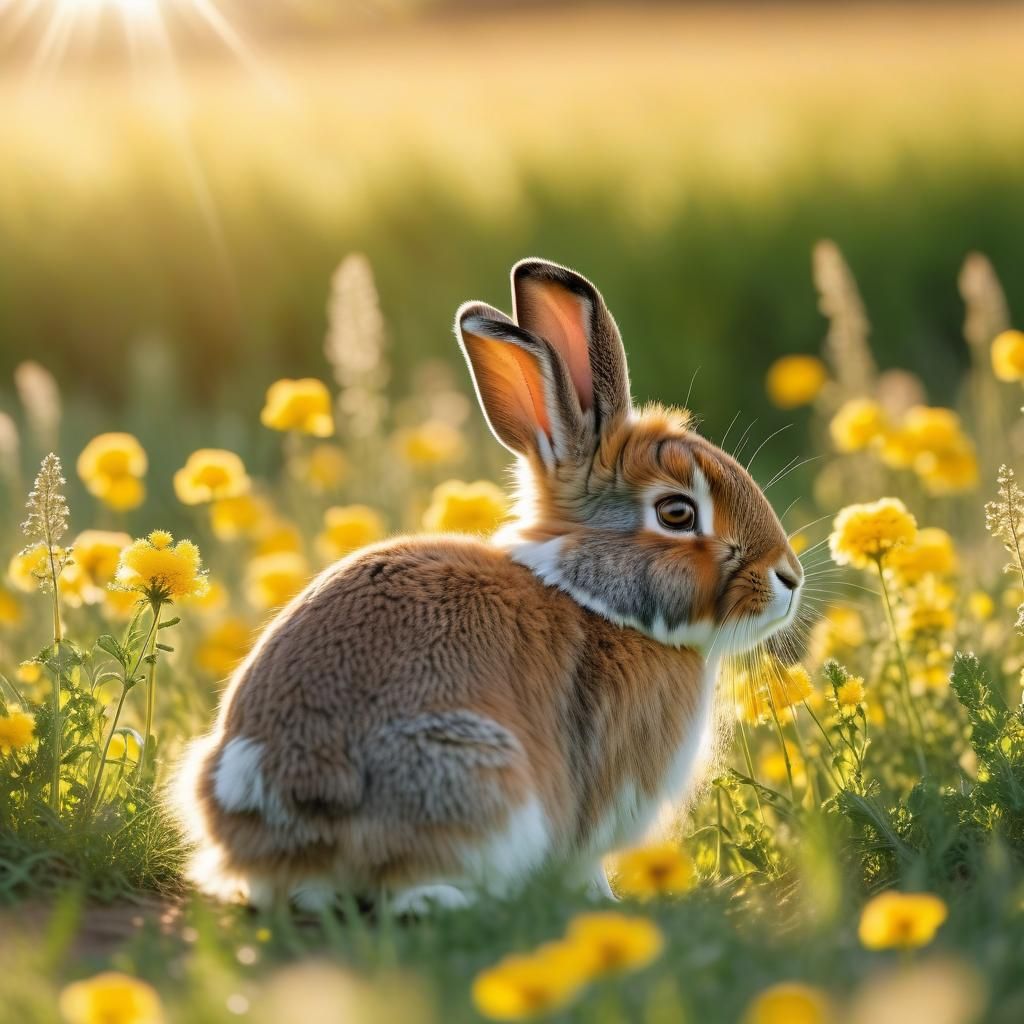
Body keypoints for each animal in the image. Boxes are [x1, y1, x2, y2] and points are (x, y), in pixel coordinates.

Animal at [172, 258, 803, 915]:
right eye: (677, 513)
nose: (790, 578)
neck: (592, 597)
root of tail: (283, 796)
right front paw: (606, 903)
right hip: (477, 772)